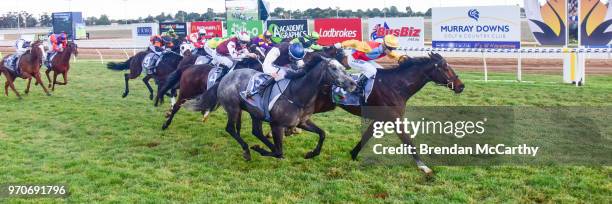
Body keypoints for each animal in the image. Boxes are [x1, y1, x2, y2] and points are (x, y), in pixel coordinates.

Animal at [184, 54, 356, 161]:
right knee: (231, 129)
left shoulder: (302, 122)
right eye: (333, 68)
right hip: (233, 108)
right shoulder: (277, 125)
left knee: (256, 131)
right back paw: (247, 150)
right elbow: (279, 152)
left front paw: (311, 154)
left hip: (254, 112)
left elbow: (322, 134)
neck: (297, 94)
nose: (353, 83)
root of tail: (226, 77)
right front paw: (259, 149)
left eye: (343, 67)